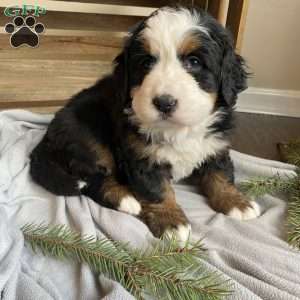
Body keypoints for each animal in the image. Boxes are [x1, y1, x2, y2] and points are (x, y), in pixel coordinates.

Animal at [30, 5, 260, 243]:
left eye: (194, 62)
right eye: (147, 63)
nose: (164, 103)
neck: (179, 130)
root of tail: (46, 140)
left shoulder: (216, 145)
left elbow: (220, 174)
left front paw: (236, 203)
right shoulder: (141, 156)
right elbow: (156, 189)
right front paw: (171, 221)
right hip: (88, 139)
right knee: (93, 180)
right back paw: (126, 200)